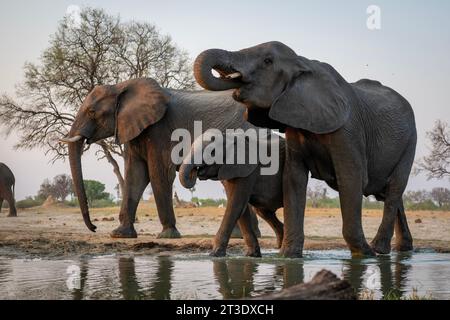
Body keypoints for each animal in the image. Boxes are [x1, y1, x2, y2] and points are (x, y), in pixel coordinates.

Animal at [60, 77, 280, 250]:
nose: (94, 227)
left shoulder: (160, 130)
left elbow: (159, 173)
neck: (121, 86)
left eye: (92, 112)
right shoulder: (135, 128)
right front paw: (120, 234)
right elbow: (134, 176)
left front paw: (168, 236)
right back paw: (242, 236)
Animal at [192, 41, 414, 258]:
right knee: (390, 194)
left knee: (394, 188)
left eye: (267, 61)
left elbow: (351, 177)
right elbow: (294, 178)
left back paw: (379, 250)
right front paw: (289, 256)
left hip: (410, 143)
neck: (302, 63)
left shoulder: (348, 130)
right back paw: (403, 249)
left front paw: (364, 255)